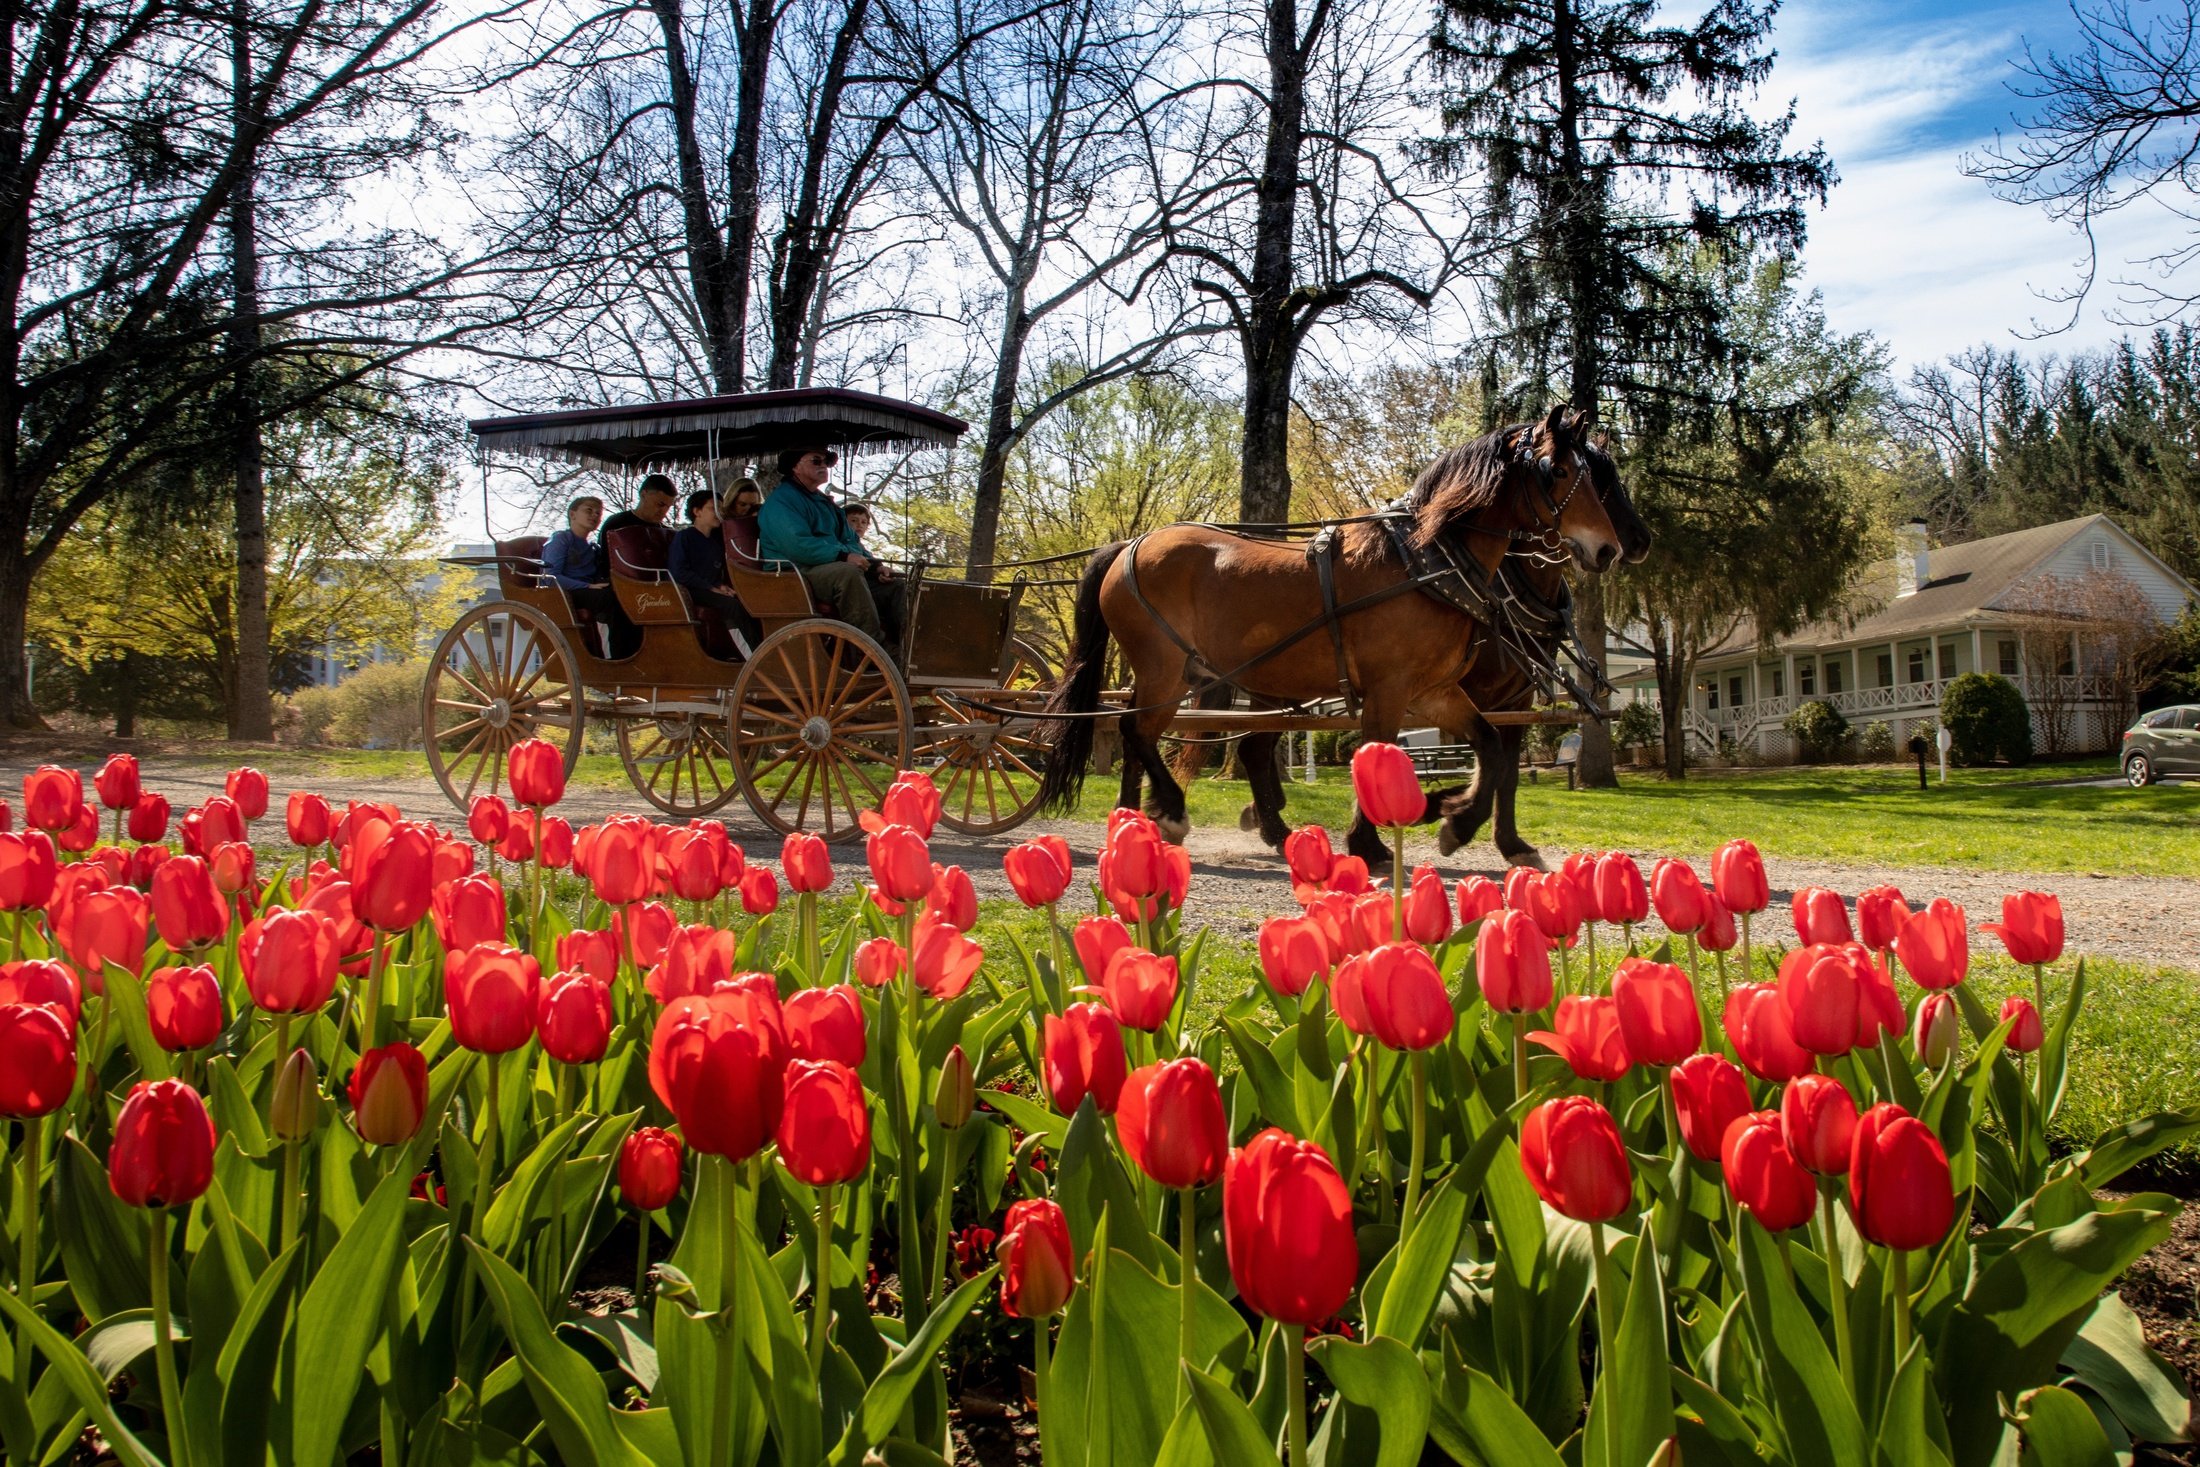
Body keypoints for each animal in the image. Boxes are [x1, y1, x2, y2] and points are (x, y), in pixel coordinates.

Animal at [1038, 406, 1628, 866]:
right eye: (1557, 470)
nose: (1610, 549)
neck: (1426, 561)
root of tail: (1132, 543)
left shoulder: (1433, 691)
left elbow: (1489, 749)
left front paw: (1454, 819)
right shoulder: (1389, 689)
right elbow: (1376, 753)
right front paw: (1373, 842)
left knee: (1146, 732)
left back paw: (1137, 820)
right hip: (1167, 670)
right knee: (1136, 729)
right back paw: (1172, 812)